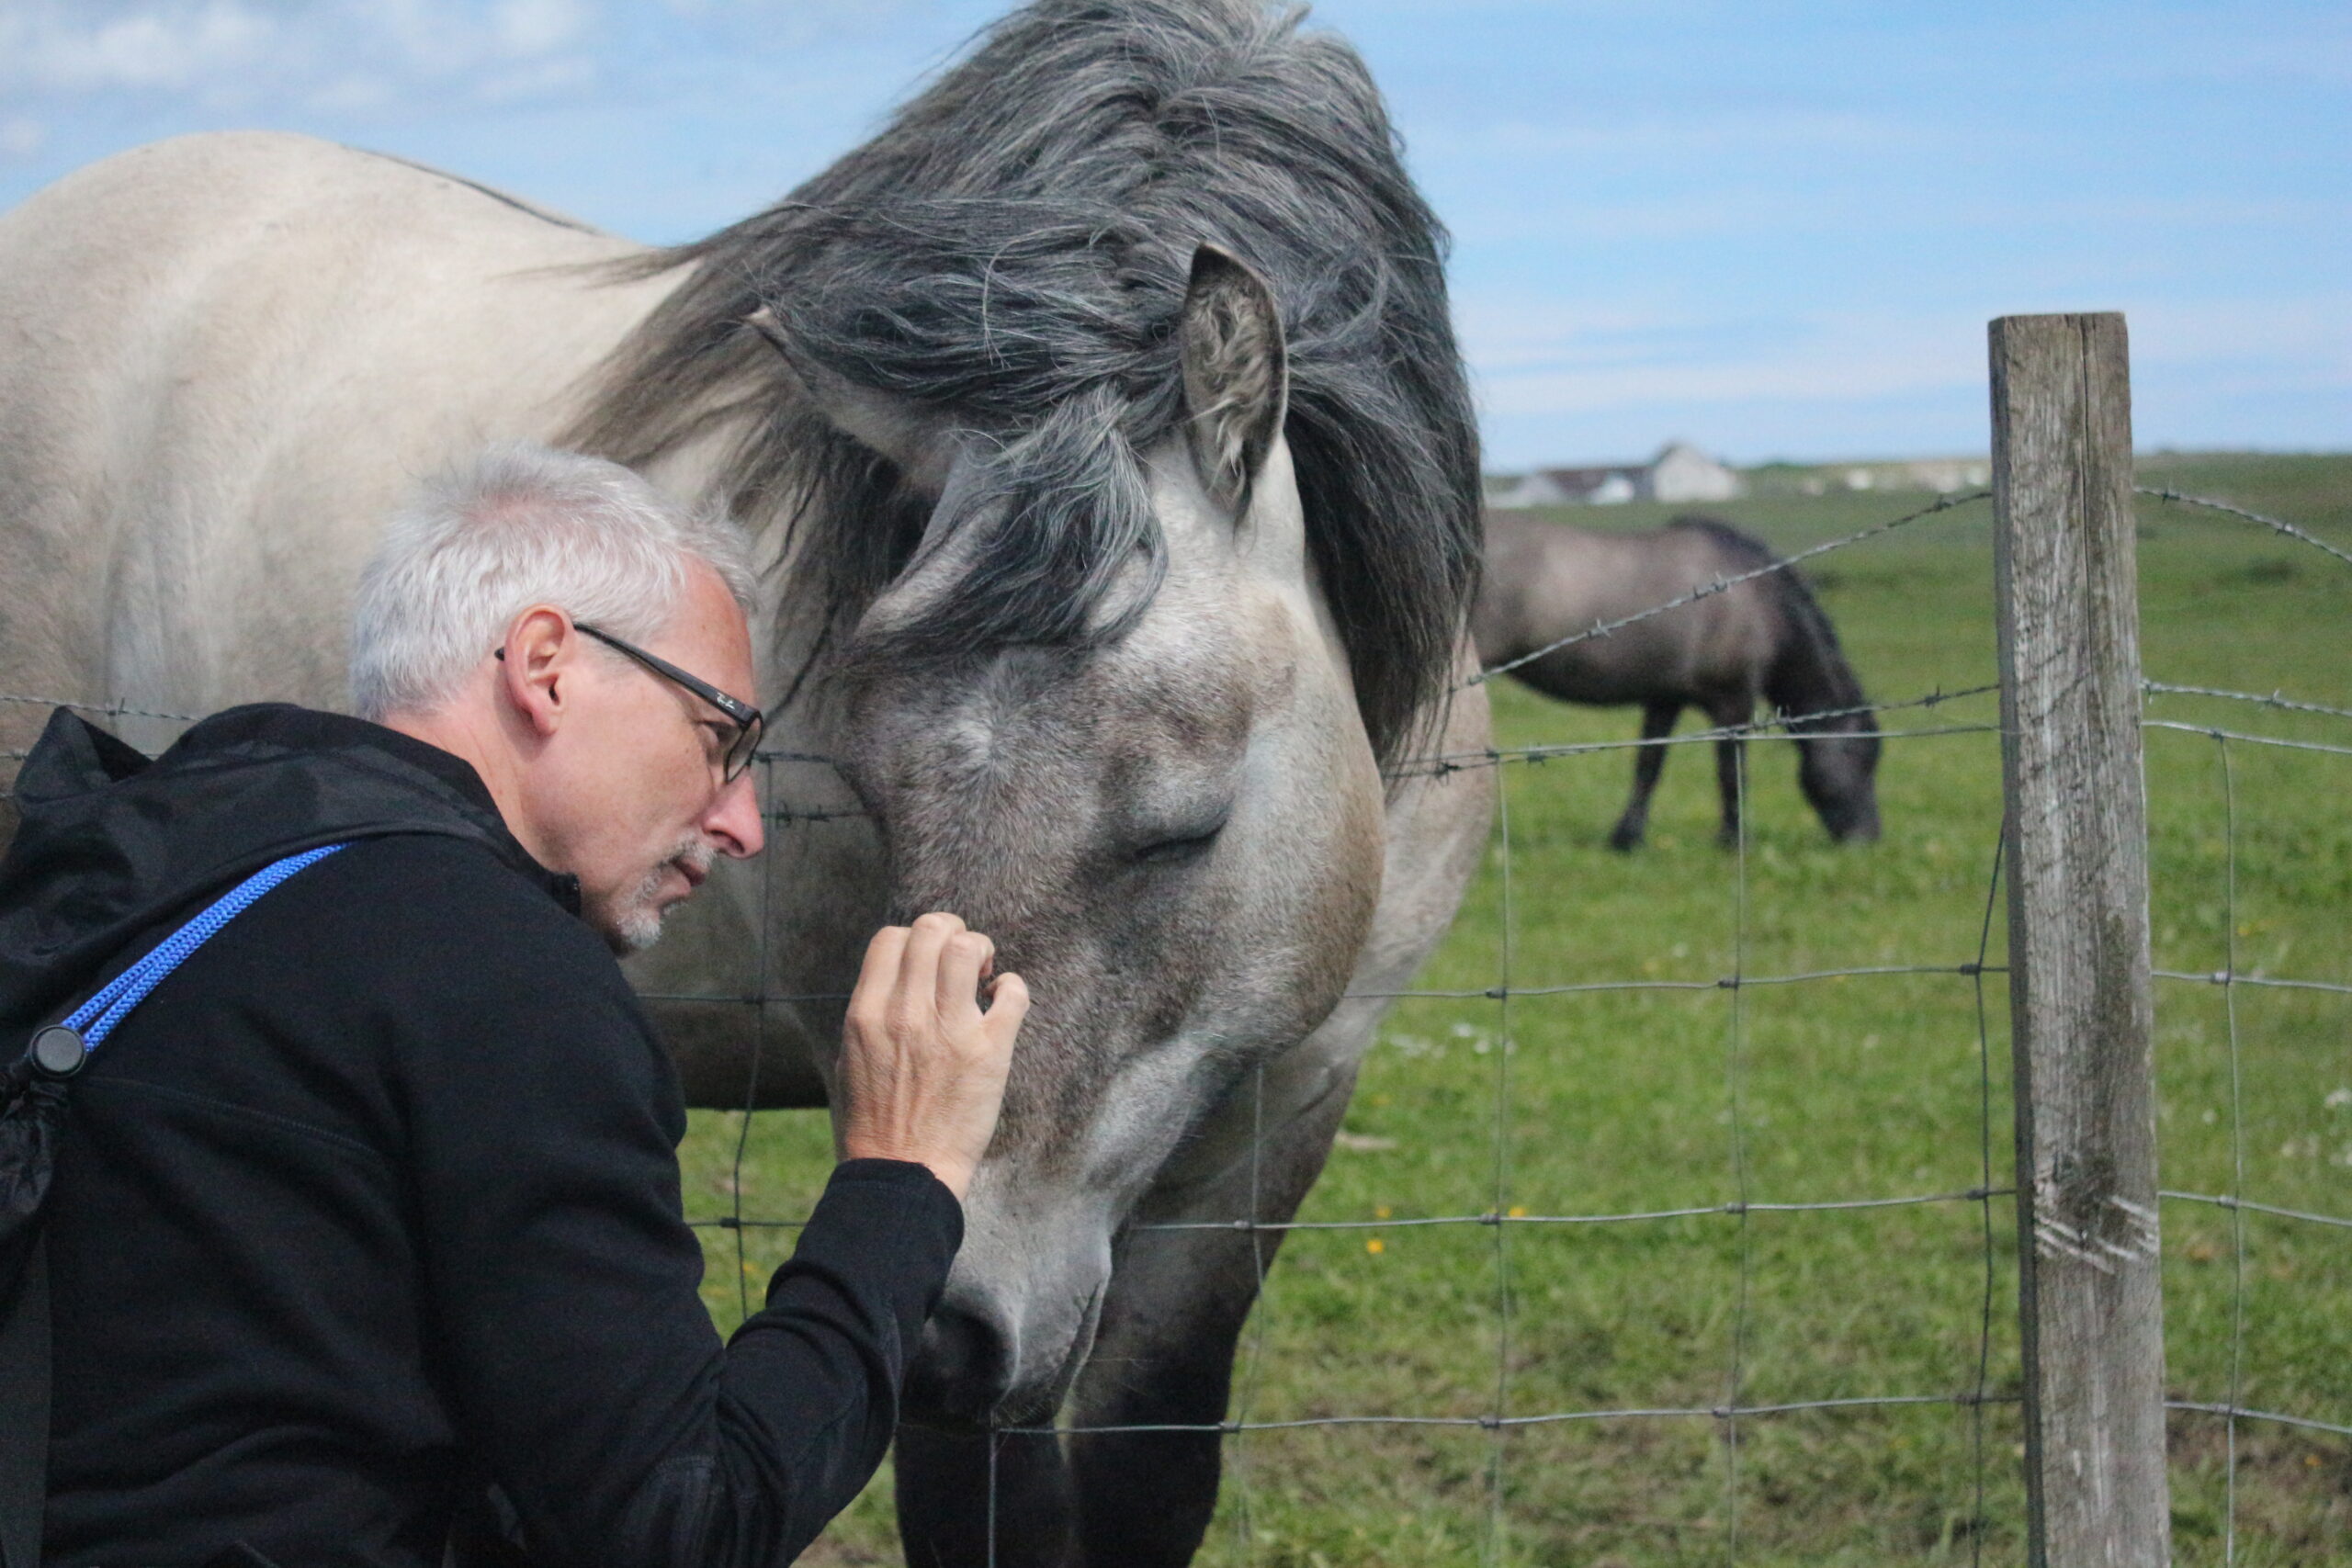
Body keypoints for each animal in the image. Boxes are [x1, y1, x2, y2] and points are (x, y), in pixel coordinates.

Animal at [1472, 512, 1880, 849]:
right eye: (1861, 757)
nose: (1868, 838)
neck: (1755, 601)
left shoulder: (1665, 699)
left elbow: (1649, 765)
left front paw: (1627, 838)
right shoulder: (1733, 701)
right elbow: (1731, 770)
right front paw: (1733, 840)